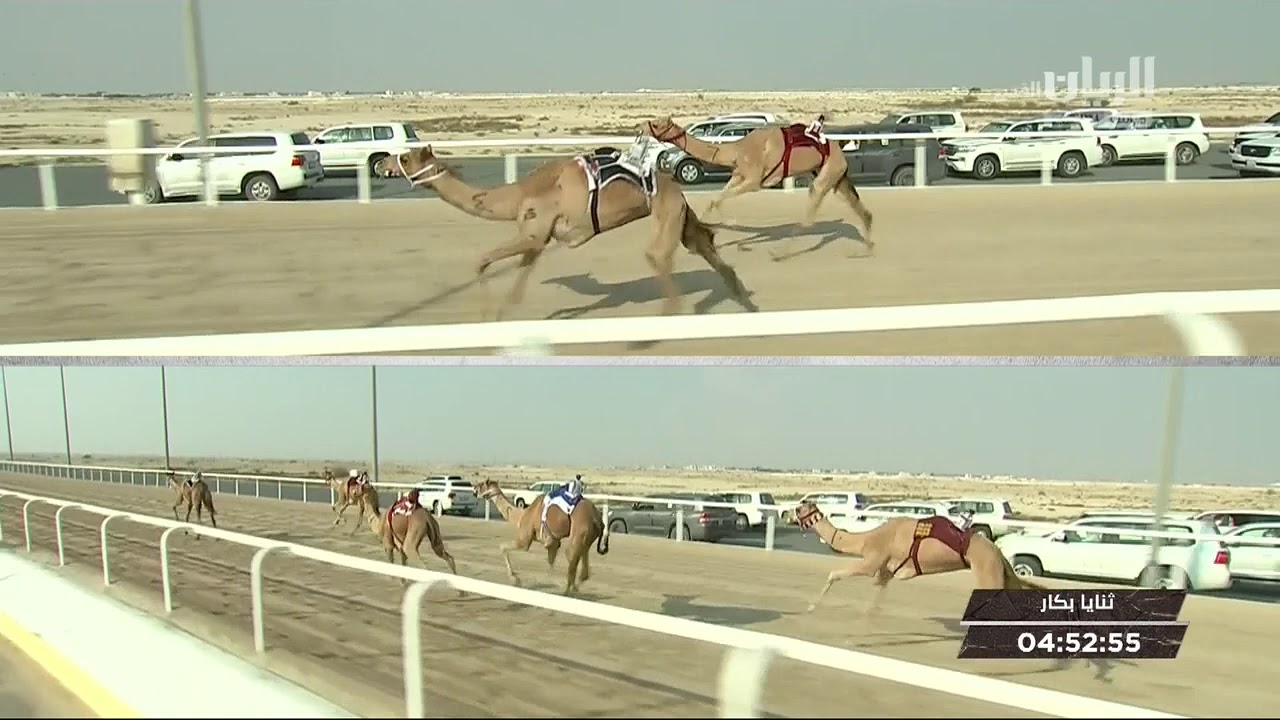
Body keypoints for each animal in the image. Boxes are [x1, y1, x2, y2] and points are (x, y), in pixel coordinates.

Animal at [374, 145, 749, 320]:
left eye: (406, 158)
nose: (383, 163)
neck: (517, 194)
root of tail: (673, 184)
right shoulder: (537, 239)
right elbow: (517, 282)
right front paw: (500, 316)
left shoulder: (535, 232)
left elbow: (481, 260)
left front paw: (484, 316)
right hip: (681, 215)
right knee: (703, 243)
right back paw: (744, 301)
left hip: (666, 211)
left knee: (658, 256)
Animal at [470, 478, 608, 595]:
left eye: (482, 484)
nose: (474, 490)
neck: (522, 515)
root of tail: (598, 519)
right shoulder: (553, 543)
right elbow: (550, 564)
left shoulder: (525, 540)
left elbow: (503, 546)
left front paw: (515, 579)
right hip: (587, 539)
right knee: (583, 570)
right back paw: (573, 590)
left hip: (579, 532)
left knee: (571, 560)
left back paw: (568, 592)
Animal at [640, 116, 874, 259]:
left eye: (658, 124)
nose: (641, 128)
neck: (737, 149)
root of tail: (839, 149)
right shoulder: (738, 175)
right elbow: (715, 199)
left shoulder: (754, 181)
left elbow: (721, 199)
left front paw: (732, 229)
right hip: (835, 178)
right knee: (861, 210)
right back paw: (866, 250)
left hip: (827, 175)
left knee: (810, 215)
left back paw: (779, 253)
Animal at [794, 502, 1041, 615]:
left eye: (801, 509)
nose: (793, 510)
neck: (867, 538)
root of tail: (998, 552)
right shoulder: (886, 572)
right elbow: (874, 604)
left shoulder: (874, 559)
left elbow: (834, 573)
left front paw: (811, 607)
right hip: (1000, 574)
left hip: (988, 573)